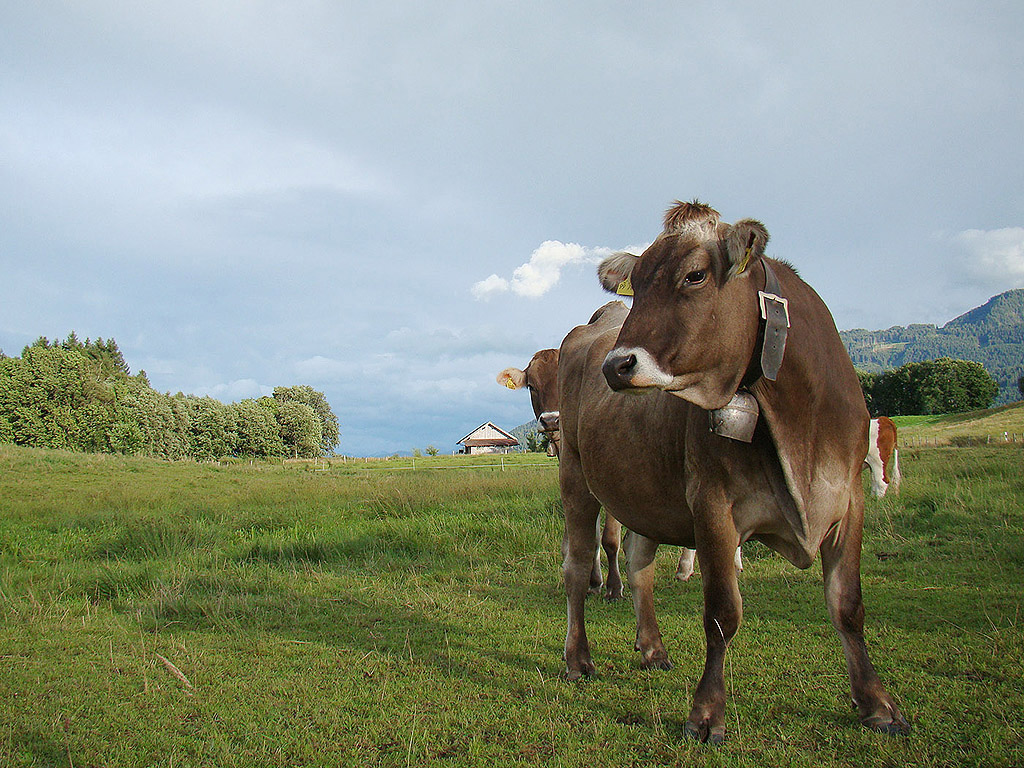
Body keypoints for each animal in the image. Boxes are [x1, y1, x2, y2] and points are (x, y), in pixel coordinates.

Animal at [561, 201, 913, 741]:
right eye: (636, 284)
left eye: (695, 275)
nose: (616, 366)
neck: (799, 429)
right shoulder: (713, 505)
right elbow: (722, 613)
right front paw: (707, 713)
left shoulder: (848, 500)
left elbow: (848, 605)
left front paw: (877, 704)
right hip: (576, 479)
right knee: (579, 568)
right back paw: (578, 659)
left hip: (647, 492)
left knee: (641, 568)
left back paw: (652, 648)